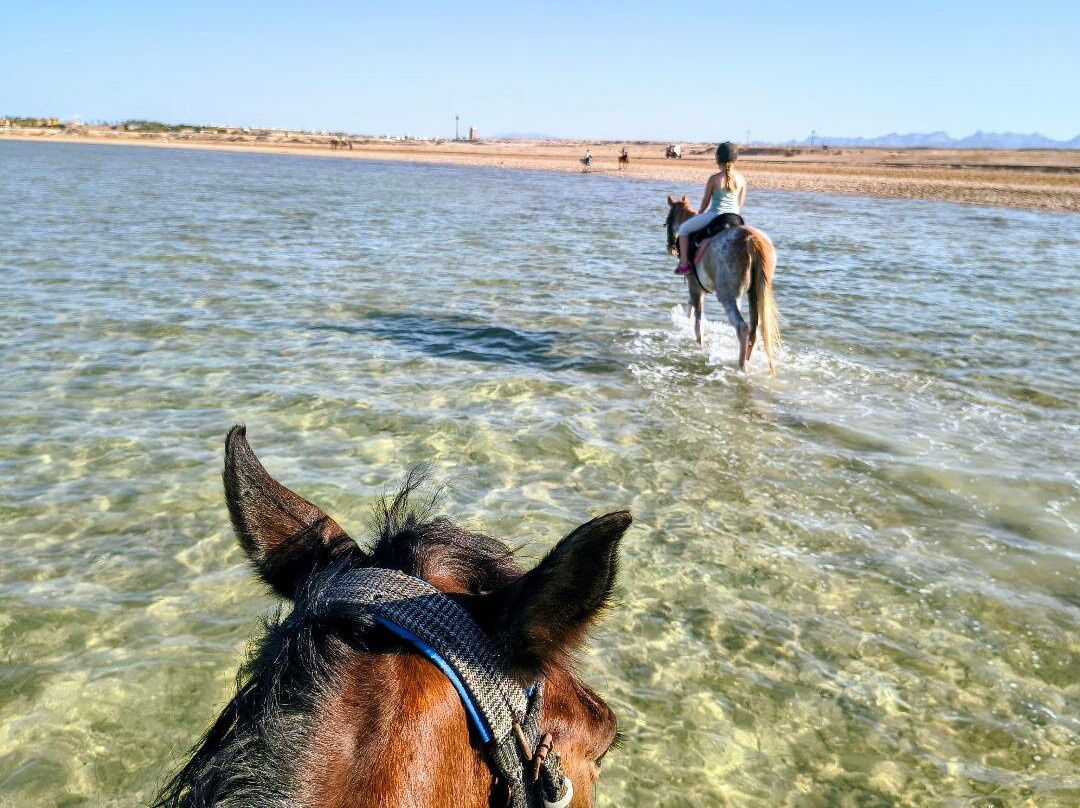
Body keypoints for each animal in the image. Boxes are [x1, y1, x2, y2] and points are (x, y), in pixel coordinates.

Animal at [664, 195, 781, 373]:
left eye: (668, 221)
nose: (670, 246)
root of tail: (751, 241)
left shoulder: (695, 286)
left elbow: (698, 323)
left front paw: (699, 347)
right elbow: (691, 308)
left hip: (727, 296)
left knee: (742, 328)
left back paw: (742, 367)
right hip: (754, 294)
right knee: (754, 329)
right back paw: (747, 360)